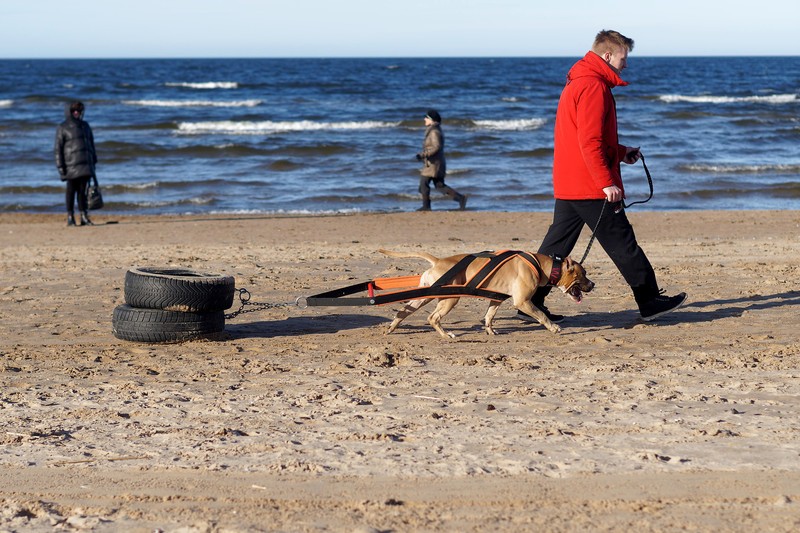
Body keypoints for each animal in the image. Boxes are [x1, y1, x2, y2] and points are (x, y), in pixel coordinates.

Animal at [376, 248, 592, 336]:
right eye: (583, 274)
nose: (593, 285)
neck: (544, 266)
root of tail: (438, 261)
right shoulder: (523, 301)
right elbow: (541, 315)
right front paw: (554, 327)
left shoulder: (496, 299)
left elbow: (489, 316)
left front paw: (490, 330)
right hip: (450, 299)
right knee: (433, 318)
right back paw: (446, 335)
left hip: (424, 297)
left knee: (403, 311)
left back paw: (391, 328)